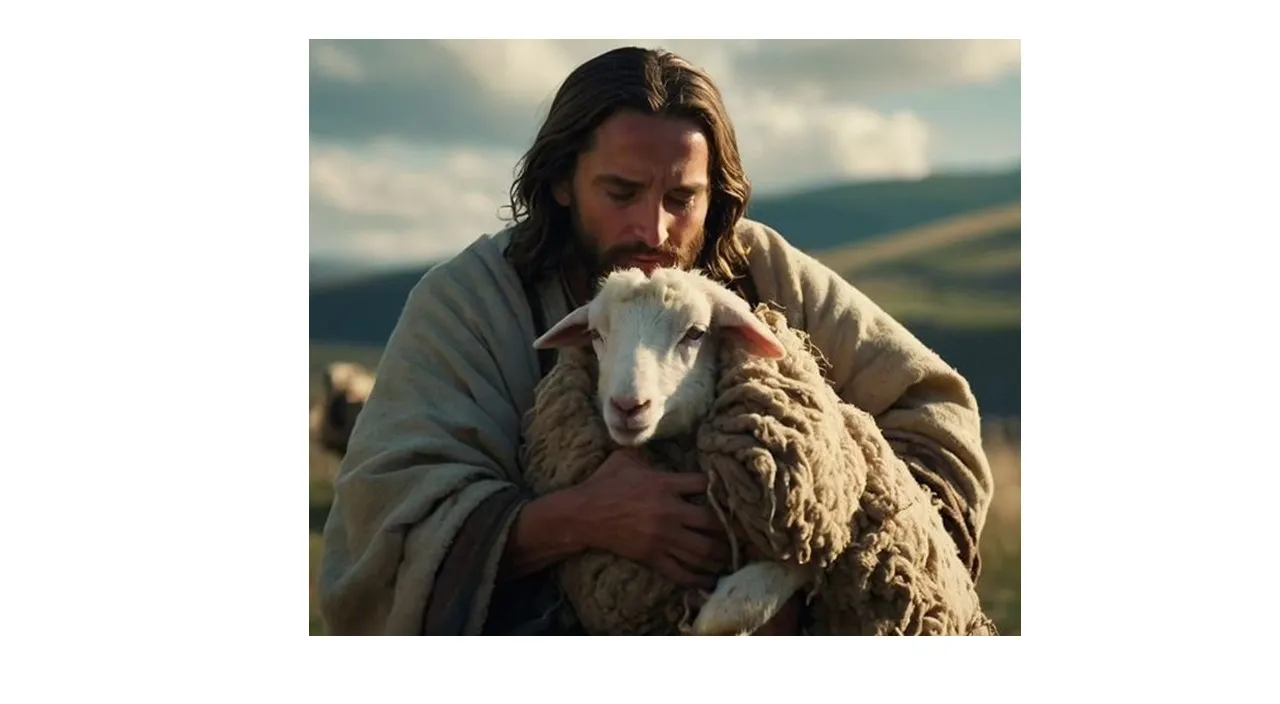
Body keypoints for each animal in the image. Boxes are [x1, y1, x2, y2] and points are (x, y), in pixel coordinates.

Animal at [522, 267, 998, 637]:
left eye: (695, 334)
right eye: (597, 335)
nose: (626, 406)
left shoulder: (825, 523)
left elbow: (775, 579)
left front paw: (719, 608)